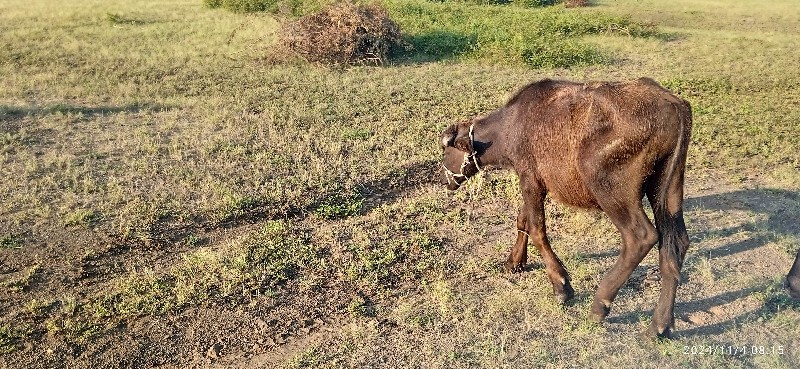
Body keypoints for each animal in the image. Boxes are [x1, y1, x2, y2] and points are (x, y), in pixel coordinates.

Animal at [440, 77, 692, 336]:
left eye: (445, 150)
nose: (443, 179)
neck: (509, 127)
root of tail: (674, 105)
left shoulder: (529, 179)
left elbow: (537, 229)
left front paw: (561, 286)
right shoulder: (535, 184)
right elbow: (523, 220)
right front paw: (514, 262)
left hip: (610, 189)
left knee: (641, 237)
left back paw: (599, 306)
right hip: (667, 189)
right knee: (676, 243)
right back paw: (660, 326)